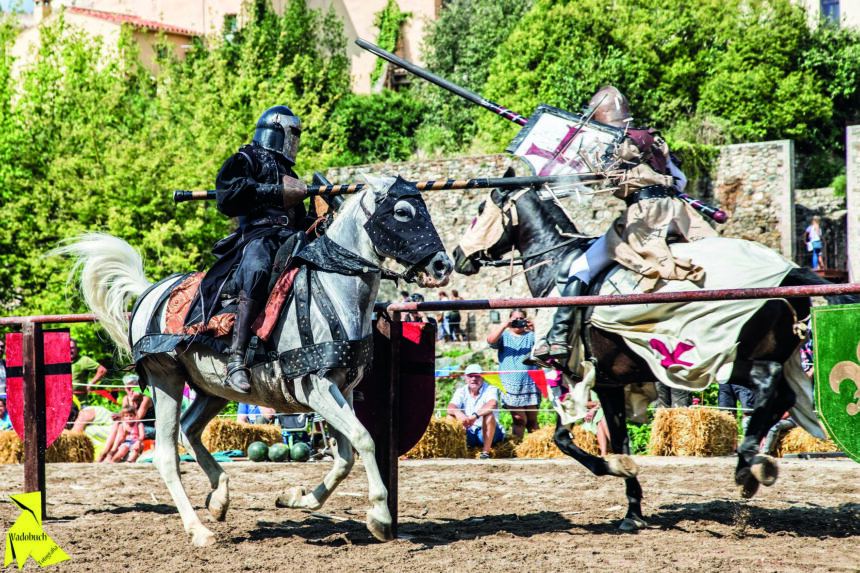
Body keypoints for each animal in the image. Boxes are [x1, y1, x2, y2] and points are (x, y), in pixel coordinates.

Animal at [54, 177, 454, 544]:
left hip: (213, 390)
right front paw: (381, 518)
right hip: (164, 380)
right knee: (167, 454)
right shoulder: (317, 389)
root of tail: (151, 293)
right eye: (402, 213)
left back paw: (219, 496)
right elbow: (364, 440)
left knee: (190, 429)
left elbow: (345, 457)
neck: (333, 292)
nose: (442, 265)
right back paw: (198, 529)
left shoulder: (342, 389)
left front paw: (296, 498)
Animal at [450, 181, 852, 528]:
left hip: (718, 360)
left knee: (768, 386)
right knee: (781, 396)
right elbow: (608, 438)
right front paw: (634, 509)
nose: (456, 256)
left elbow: (569, 440)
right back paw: (752, 466)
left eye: (480, 211)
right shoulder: (611, 382)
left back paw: (745, 464)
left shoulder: (587, 380)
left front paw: (619, 475)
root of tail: (789, 272)